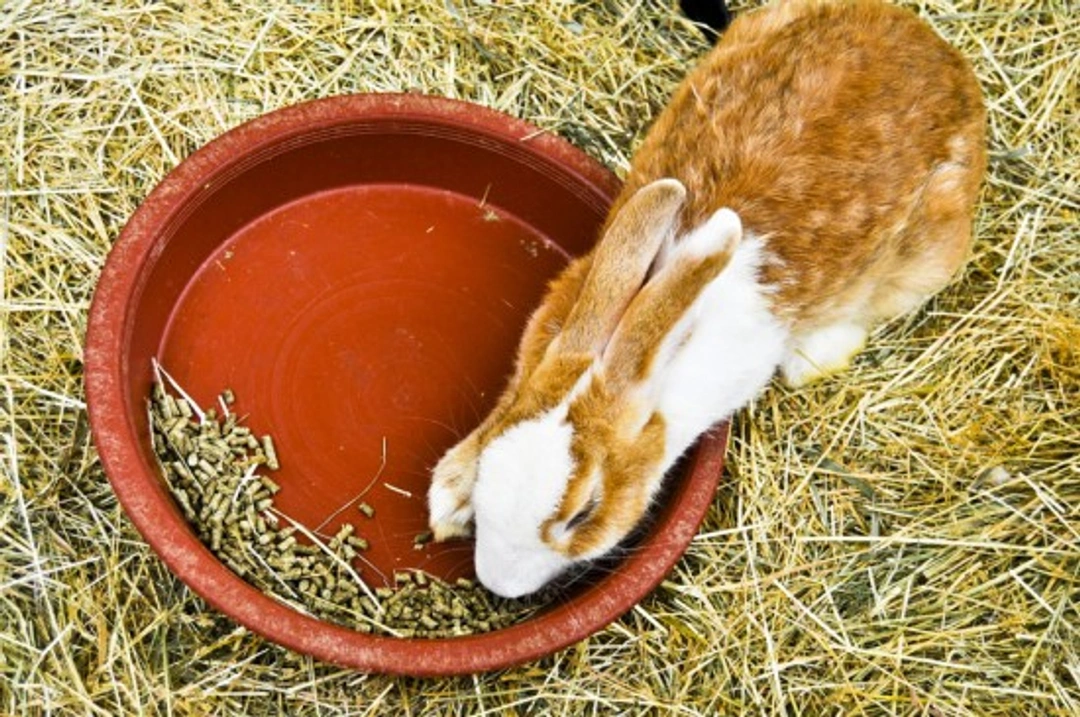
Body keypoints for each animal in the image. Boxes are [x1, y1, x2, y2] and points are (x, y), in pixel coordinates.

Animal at [428, 0, 986, 598]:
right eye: (492, 468)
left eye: (584, 514)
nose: (498, 583)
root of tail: (937, 51)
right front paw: (452, 496)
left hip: (927, 256)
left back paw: (814, 357)